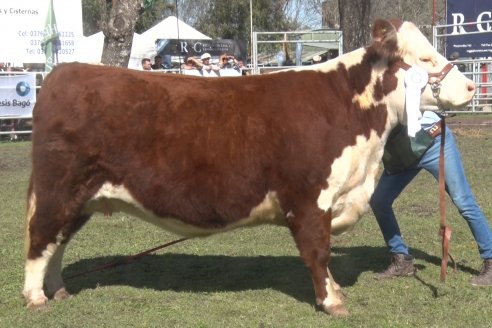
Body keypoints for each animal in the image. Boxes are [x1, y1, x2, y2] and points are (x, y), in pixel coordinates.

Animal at [23, 19, 476, 316]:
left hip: (80, 198)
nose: (472, 86)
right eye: (424, 57)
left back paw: (59, 291)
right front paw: (330, 301)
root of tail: (64, 73)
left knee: (57, 244)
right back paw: (35, 297)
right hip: (59, 189)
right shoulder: (309, 198)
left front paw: (334, 292)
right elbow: (318, 250)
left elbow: (324, 252)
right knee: (40, 240)